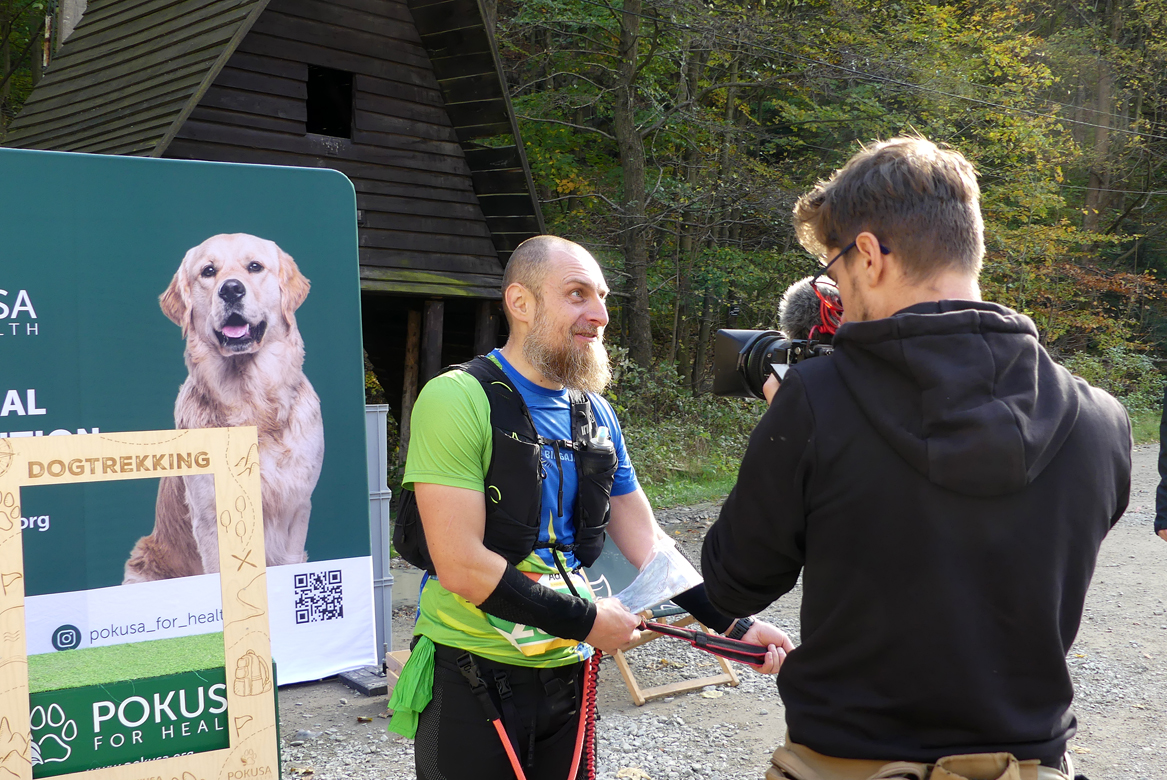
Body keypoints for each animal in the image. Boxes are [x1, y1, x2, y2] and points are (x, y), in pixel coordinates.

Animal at [124, 233, 325, 583]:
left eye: (255, 266)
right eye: (208, 271)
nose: (231, 289)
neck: (251, 402)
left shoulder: (296, 507)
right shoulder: (210, 514)